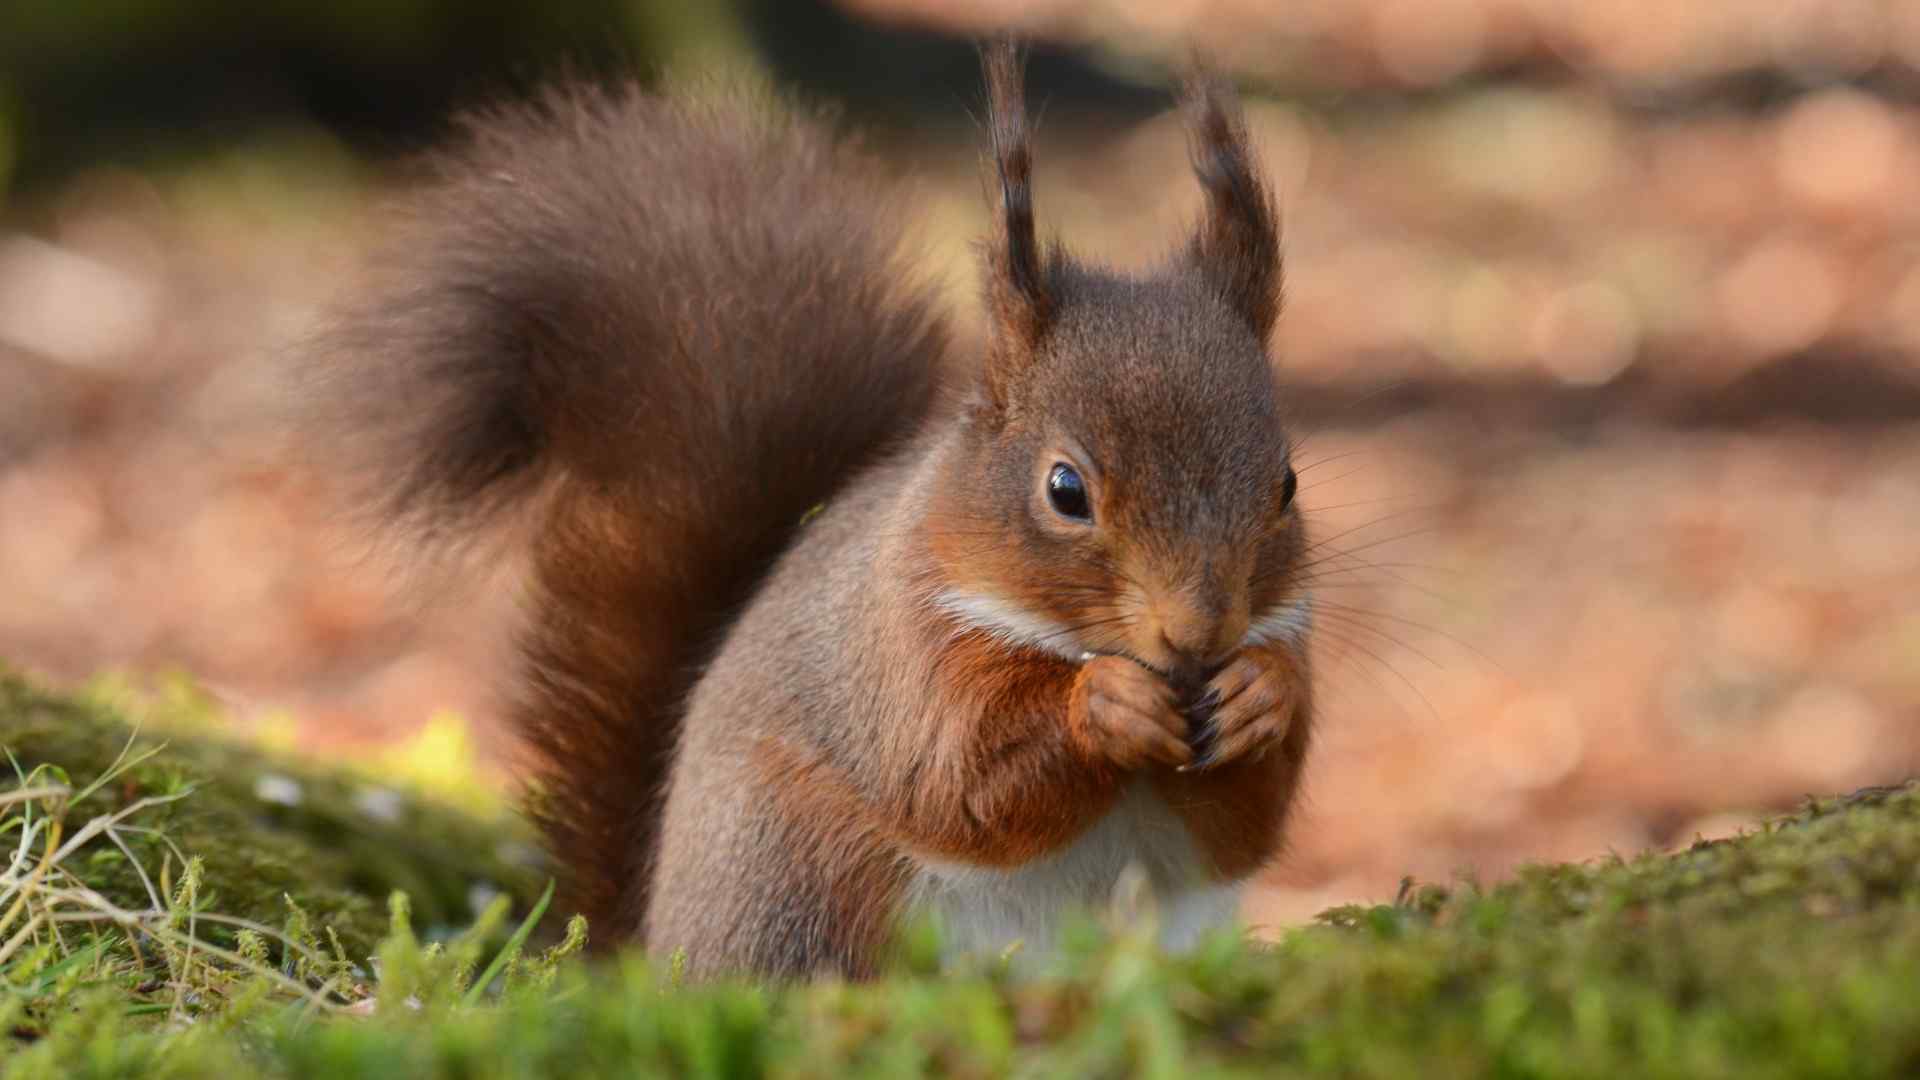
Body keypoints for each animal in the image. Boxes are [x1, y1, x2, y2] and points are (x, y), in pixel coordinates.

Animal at [303, 39, 1320, 976]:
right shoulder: (902, 655)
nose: (1199, 631)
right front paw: (1103, 703)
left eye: (1287, 484)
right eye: (1065, 490)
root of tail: (656, 947)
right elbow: (958, 787)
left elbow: (1251, 823)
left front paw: (1261, 694)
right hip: (800, 874)